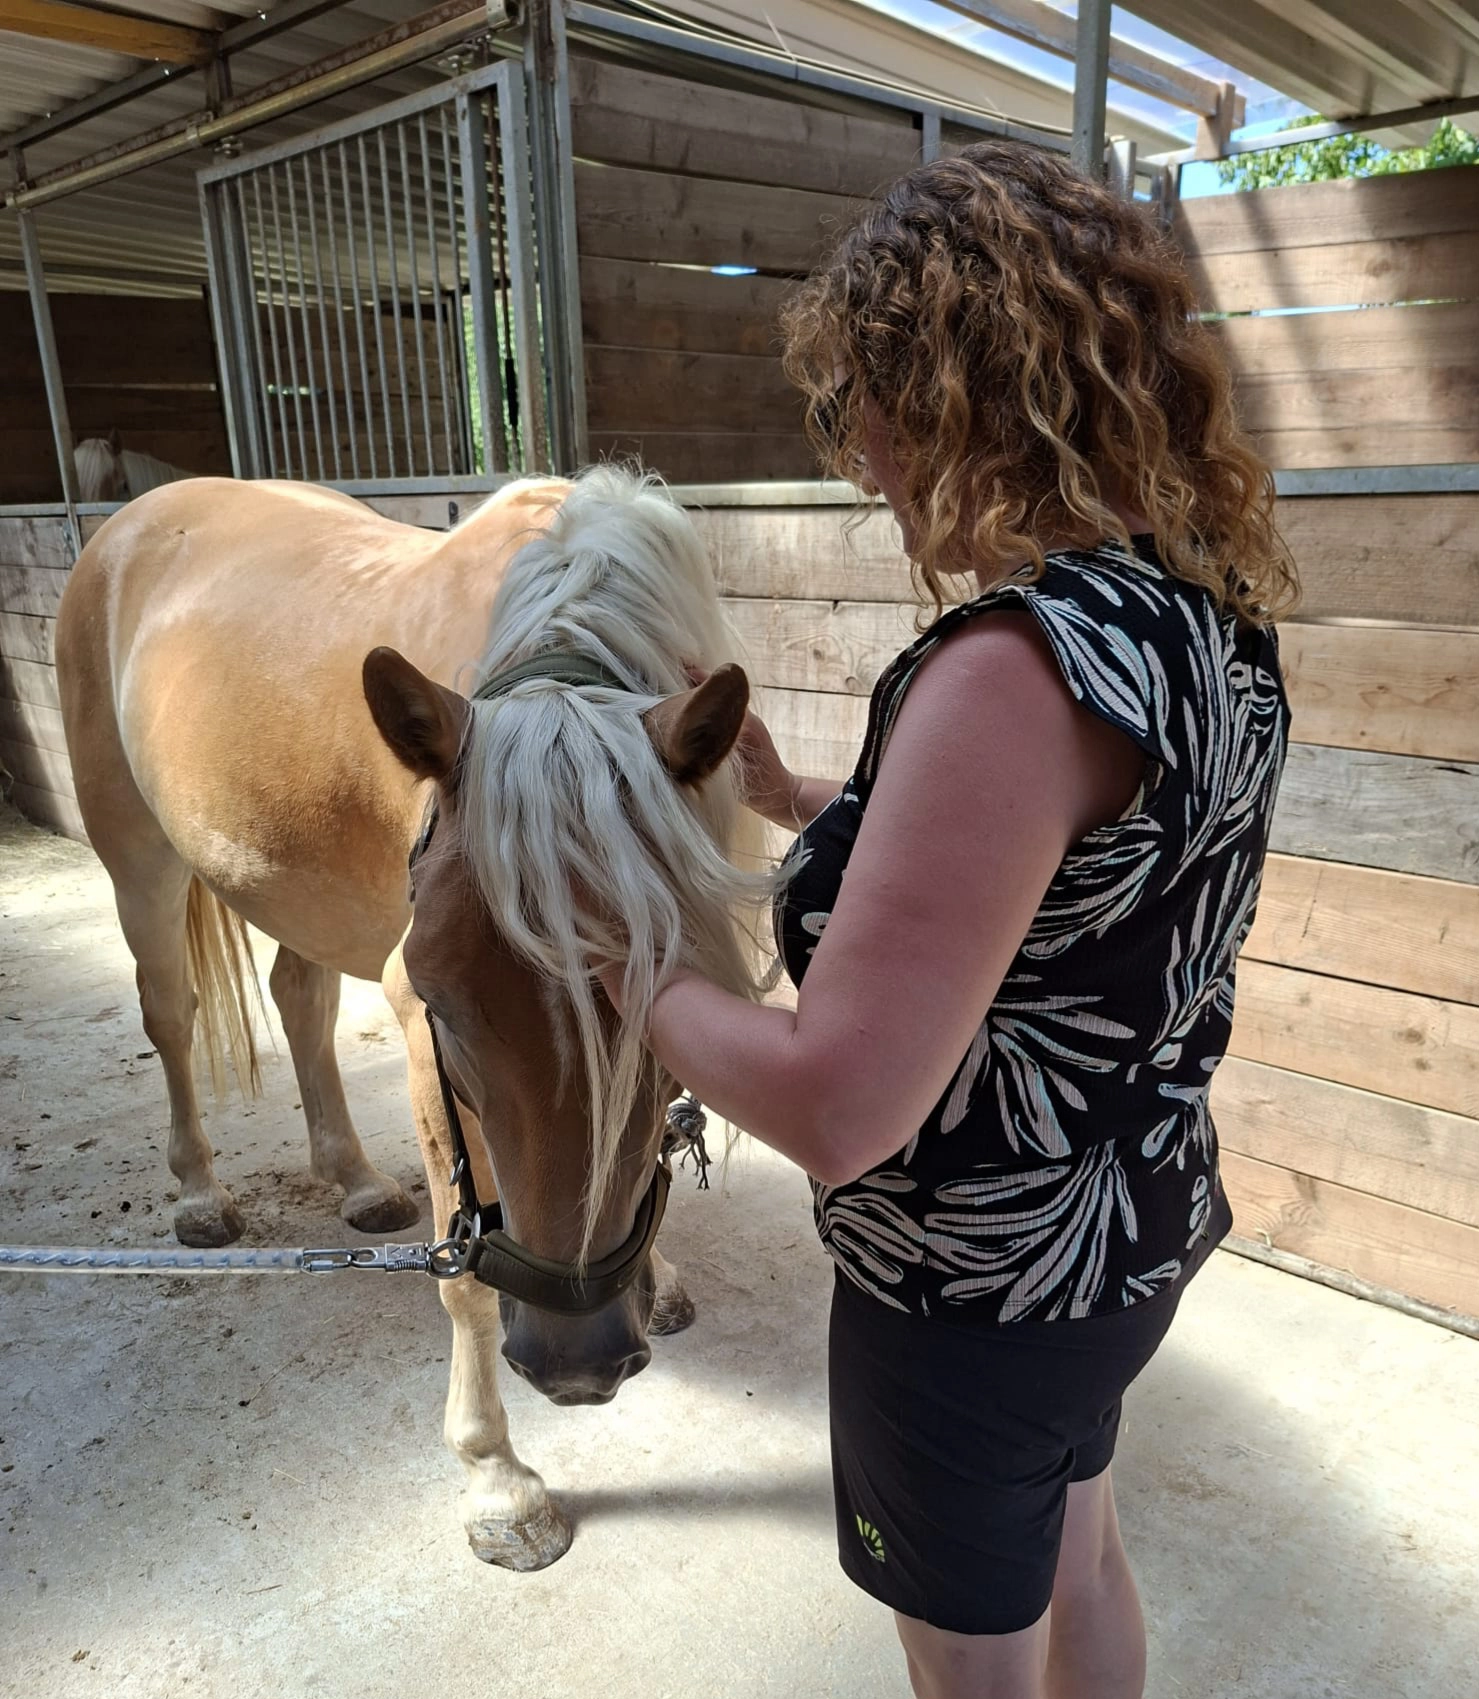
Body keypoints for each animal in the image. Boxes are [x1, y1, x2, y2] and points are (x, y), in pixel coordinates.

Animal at [54, 467, 772, 1569]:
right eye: (445, 1004)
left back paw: (354, 1178)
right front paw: (497, 1480)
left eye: (667, 996)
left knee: (300, 1001)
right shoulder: (415, 1023)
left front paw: (654, 1267)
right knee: (170, 1013)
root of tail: (131, 519)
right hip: (140, 859)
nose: (575, 1362)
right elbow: (465, 1273)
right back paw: (200, 1193)